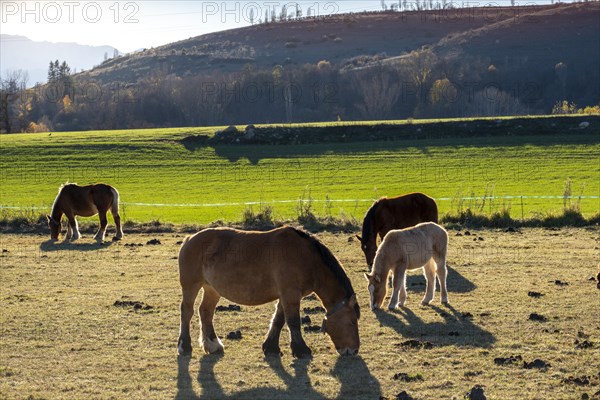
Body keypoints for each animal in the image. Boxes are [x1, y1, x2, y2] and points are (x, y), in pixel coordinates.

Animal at [176, 227, 358, 358]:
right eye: (352, 322)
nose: (354, 350)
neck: (305, 258)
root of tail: (189, 239)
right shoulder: (290, 294)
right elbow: (293, 322)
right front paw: (301, 350)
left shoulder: (286, 295)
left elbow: (279, 320)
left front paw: (271, 347)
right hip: (191, 285)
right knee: (187, 311)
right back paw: (184, 346)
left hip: (212, 289)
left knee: (205, 311)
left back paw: (213, 345)